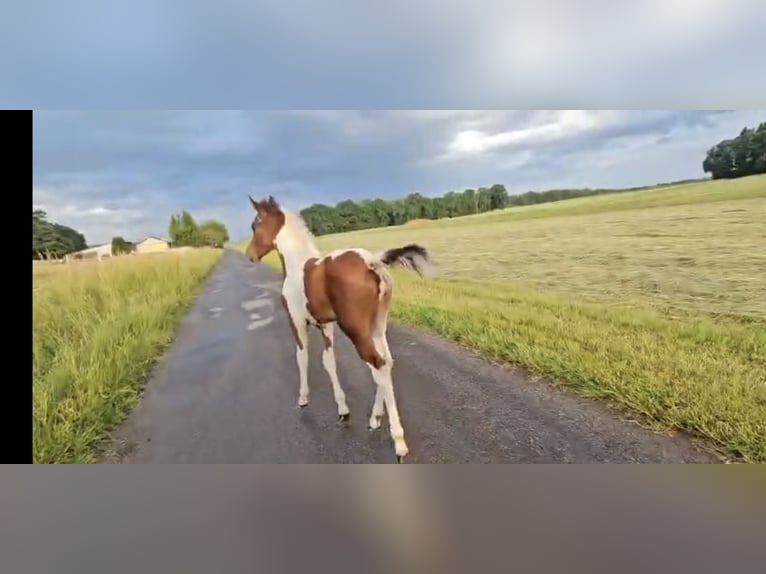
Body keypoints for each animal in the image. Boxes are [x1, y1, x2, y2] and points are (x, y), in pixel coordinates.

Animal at [244, 195, 432, 463]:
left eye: (254, 225)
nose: (249, 255)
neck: (297, 264)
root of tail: (371, 262)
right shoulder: (326, 326)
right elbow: (329, 361)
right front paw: (343, 410)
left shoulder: (296, 322)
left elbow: (302, 357)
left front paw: (303, 398)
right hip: (377, 326)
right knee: (387, 362)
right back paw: (375, 418)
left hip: (356, 329)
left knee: (378, 365)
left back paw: (398, 442)